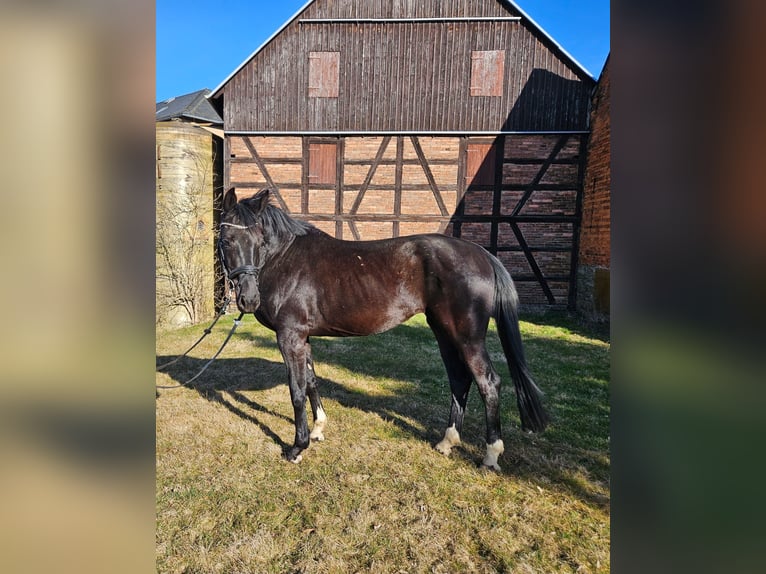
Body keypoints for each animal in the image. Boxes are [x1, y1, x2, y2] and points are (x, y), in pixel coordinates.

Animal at [217, 188, 548, 470]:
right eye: (226, 241)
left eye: (259, 240)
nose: (249, 299)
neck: (285, 259)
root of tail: (483, 254)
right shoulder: (303, 337)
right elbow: (311, 381)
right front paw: (318, 430)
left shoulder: (290, 336)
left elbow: (297, 390)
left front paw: (298, 448)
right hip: (444, 332)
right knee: (459, 380)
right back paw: (447, 442)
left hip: (468, 337)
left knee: (488, 383)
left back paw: (491, 455)